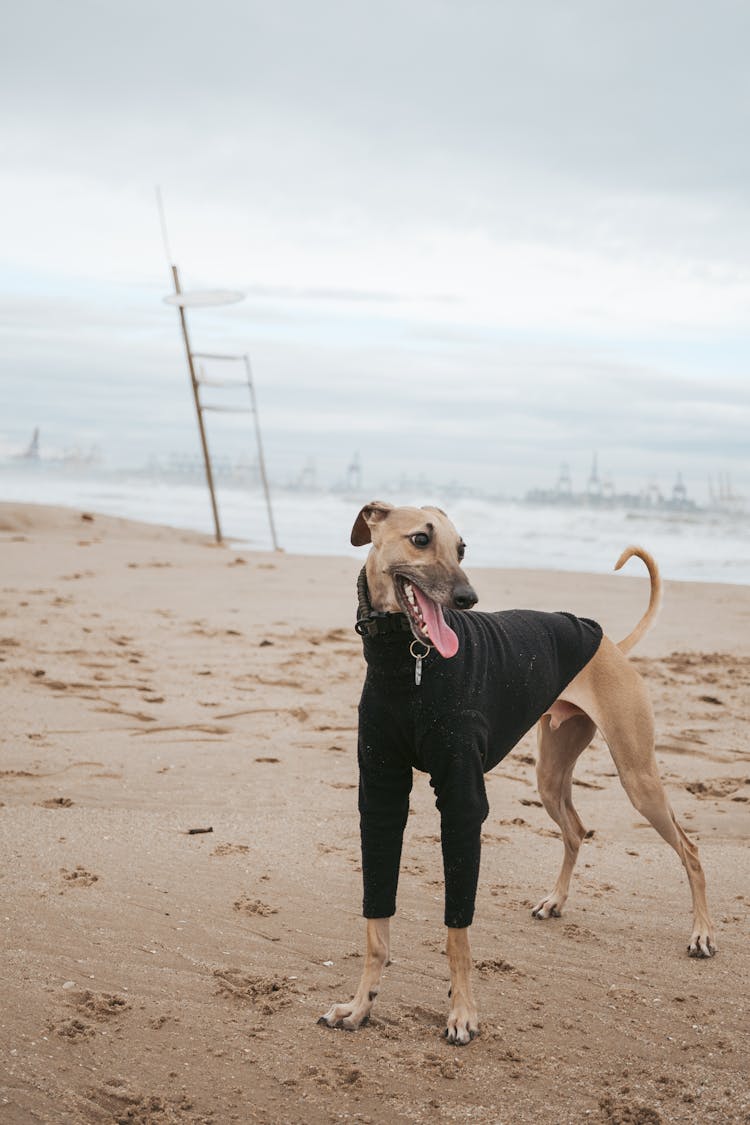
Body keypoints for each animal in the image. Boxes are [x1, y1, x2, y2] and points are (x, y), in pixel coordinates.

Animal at [317, 501, 715, 1044]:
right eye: (421, 539)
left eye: (462, 548)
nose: (467, 598)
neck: (410, 662)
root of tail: (610, 643)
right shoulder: (380, 795)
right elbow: (376, 923)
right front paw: (359, 1007)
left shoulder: (463, 804)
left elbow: (457, 933)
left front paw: (462, 1013)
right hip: (550, 773)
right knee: (576, 829)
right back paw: (555, 902)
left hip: (638, 776)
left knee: (689, 849)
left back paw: (701, 934)